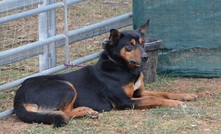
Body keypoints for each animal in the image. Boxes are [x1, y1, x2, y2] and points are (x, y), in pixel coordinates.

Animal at [13, 19, 197, 127]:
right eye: (129, 45)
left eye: (143, 43)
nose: (145, 57)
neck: (121, 66)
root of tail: (18, 96)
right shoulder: (124, 101)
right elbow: (155, 98)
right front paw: (176, 103)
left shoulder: (137, 92)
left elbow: (163, 92)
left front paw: (185, 95)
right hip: (66, 86)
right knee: (63, 112)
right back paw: (86, 111)